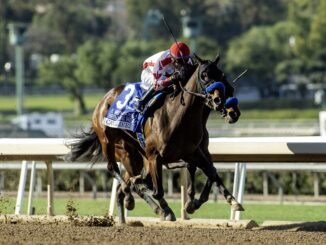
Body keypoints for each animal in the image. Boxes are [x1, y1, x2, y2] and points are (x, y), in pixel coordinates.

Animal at [67, 54, 243, 223]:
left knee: (130, 183)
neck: (178, 118)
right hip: (113, 145)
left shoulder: (193, 152)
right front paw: (172, 208)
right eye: (204, 75)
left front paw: (230, 201)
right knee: (115, 170)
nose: (232, 111)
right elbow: (157, 190)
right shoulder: (154, 156)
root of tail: (105, 98)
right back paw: (134, 199)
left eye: (222, 77)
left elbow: (211, 172)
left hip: (137, 156)